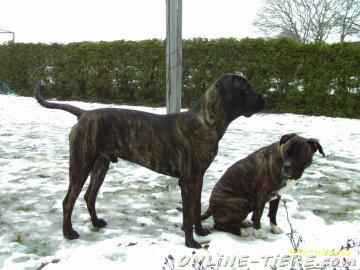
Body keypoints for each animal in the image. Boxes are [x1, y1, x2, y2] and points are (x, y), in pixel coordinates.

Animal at [34, 74, 264, 249]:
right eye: (246, 89)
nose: (265, 97)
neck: (206, 122)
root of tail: (84, 113)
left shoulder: (198, 178)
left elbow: (197, 208)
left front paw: (200, 231)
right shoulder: (188, 181)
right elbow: (188, 214)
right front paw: (190, 242)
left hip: (100, 166)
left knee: (89, 196)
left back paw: (96, 222)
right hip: (81, 164)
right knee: (68, 200)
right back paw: (68, 232)